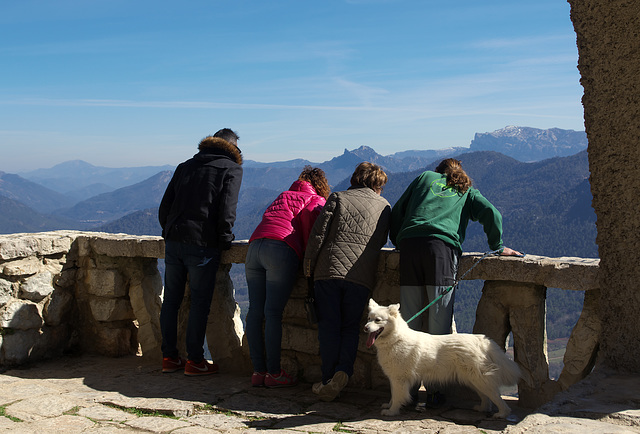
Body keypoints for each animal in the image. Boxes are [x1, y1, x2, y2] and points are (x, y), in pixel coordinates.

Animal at [364, 298, 520, 418]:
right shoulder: (394, 378)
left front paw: (392, 412)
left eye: (378, 320)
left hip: (478, 379)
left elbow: (397, 396)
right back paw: (482, 409)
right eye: (369, 319)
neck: (396, 339)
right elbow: (393, 395)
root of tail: (482, 340)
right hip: (474, 381)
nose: (365, 328)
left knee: (496, 397)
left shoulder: (399, 378)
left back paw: (502, 414)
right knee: (486, 397)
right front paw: (389, 405)